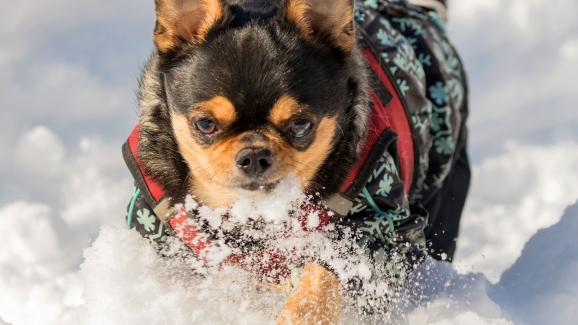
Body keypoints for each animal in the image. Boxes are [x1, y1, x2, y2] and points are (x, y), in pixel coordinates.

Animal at [122, 0, 468, 320]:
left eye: (301, 125)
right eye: (205, 124)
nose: (254, 153)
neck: (254, 218)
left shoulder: (386, 233)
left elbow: (322, 279)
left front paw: (298, 314)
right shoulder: (160, 233)